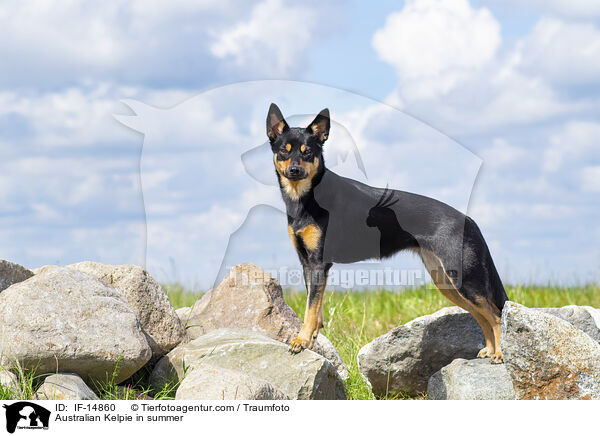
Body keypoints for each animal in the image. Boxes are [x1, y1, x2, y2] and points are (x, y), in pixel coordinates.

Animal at [266, 104, 506, 362]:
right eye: (284, 151)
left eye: (308, 152)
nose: (294, 170)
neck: (307, 197)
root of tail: (469, 220)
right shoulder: (307, 263)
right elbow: (315, 308)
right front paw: (310, 338)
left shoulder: (319, 262)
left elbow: (311, 308)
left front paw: (301, 340)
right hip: (446, 281)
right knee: (482, 315)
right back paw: (489, 351)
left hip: (462, 277)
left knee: (495, 314)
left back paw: (500, 354)